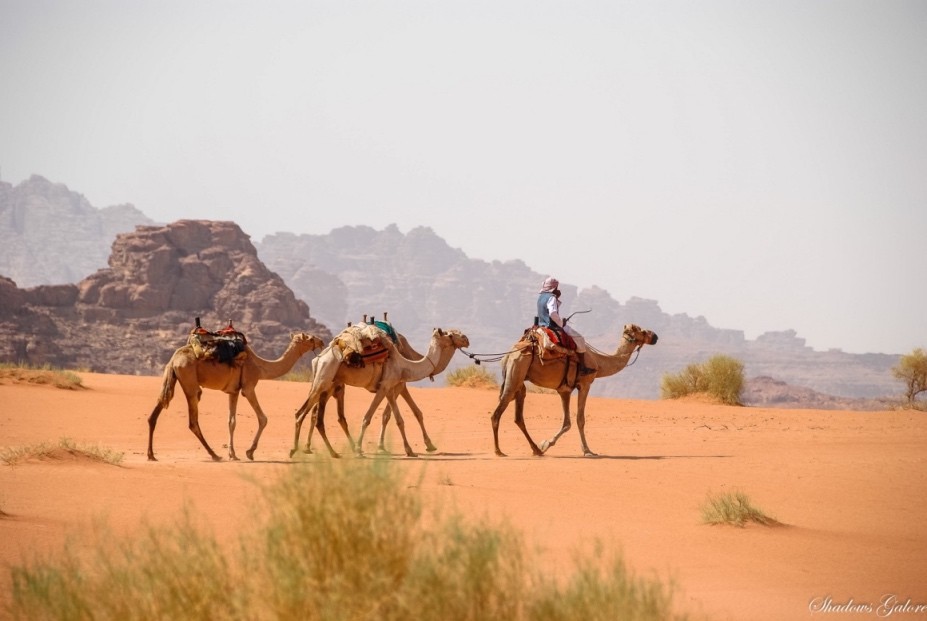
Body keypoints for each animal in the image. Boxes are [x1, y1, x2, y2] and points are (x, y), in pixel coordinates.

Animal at [149, 330, 326, 460]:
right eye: (310, 338)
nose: (321, 341)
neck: (260, 367)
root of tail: (174, 360)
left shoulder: (233, 391)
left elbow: (231, 422)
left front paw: (233, 454)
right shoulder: (248, 387)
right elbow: (263, 418)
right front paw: (250, 452)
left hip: (171, 377)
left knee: (157, 409)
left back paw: (151, 455)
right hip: (190, 382)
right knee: (193, 420)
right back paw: (214, 455)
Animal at [292, 326, 472, 458]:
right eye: (450, 335)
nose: (466, 339)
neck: (404, 365)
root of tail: (318, 358)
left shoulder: (390, 388)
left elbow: (398, 419)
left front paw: (411, 450)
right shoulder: (386, 386)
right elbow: (368, 418)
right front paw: (360, 449)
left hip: (327, 383)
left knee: (314, 415)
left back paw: (315, 450)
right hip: (323, 379)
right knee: (305, 413)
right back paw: (298, 449)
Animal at [492, 322, 660, 458]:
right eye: (641, 330)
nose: (655, 336)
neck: (599, 363)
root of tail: (509, 355)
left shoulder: (564, 390)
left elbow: (567, 422)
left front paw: (545, 444)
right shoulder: (585, 384)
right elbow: (580, 419)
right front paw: (588, 451)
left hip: (519, 380)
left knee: (518, 416)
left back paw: (536, 450)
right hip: (517, 371)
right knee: (497, 413)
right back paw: (499, 451)